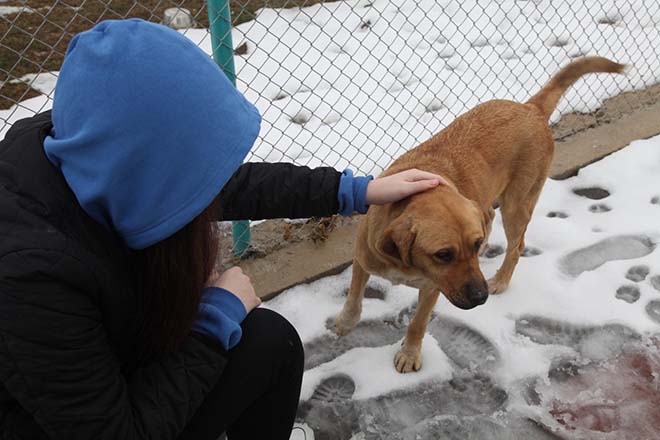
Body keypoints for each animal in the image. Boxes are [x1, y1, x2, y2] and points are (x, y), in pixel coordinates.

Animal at [335, 57, 626, 373]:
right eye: (443, 255)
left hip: (516, 204)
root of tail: (530, 108)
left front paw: (410, 353)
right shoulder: (363, 260)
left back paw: (501, 278)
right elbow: (354, 298)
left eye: (474, 246)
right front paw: (345, 322)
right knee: (491, 217)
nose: (480, 297)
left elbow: (418, 323)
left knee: (517, 245)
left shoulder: (432, 289)